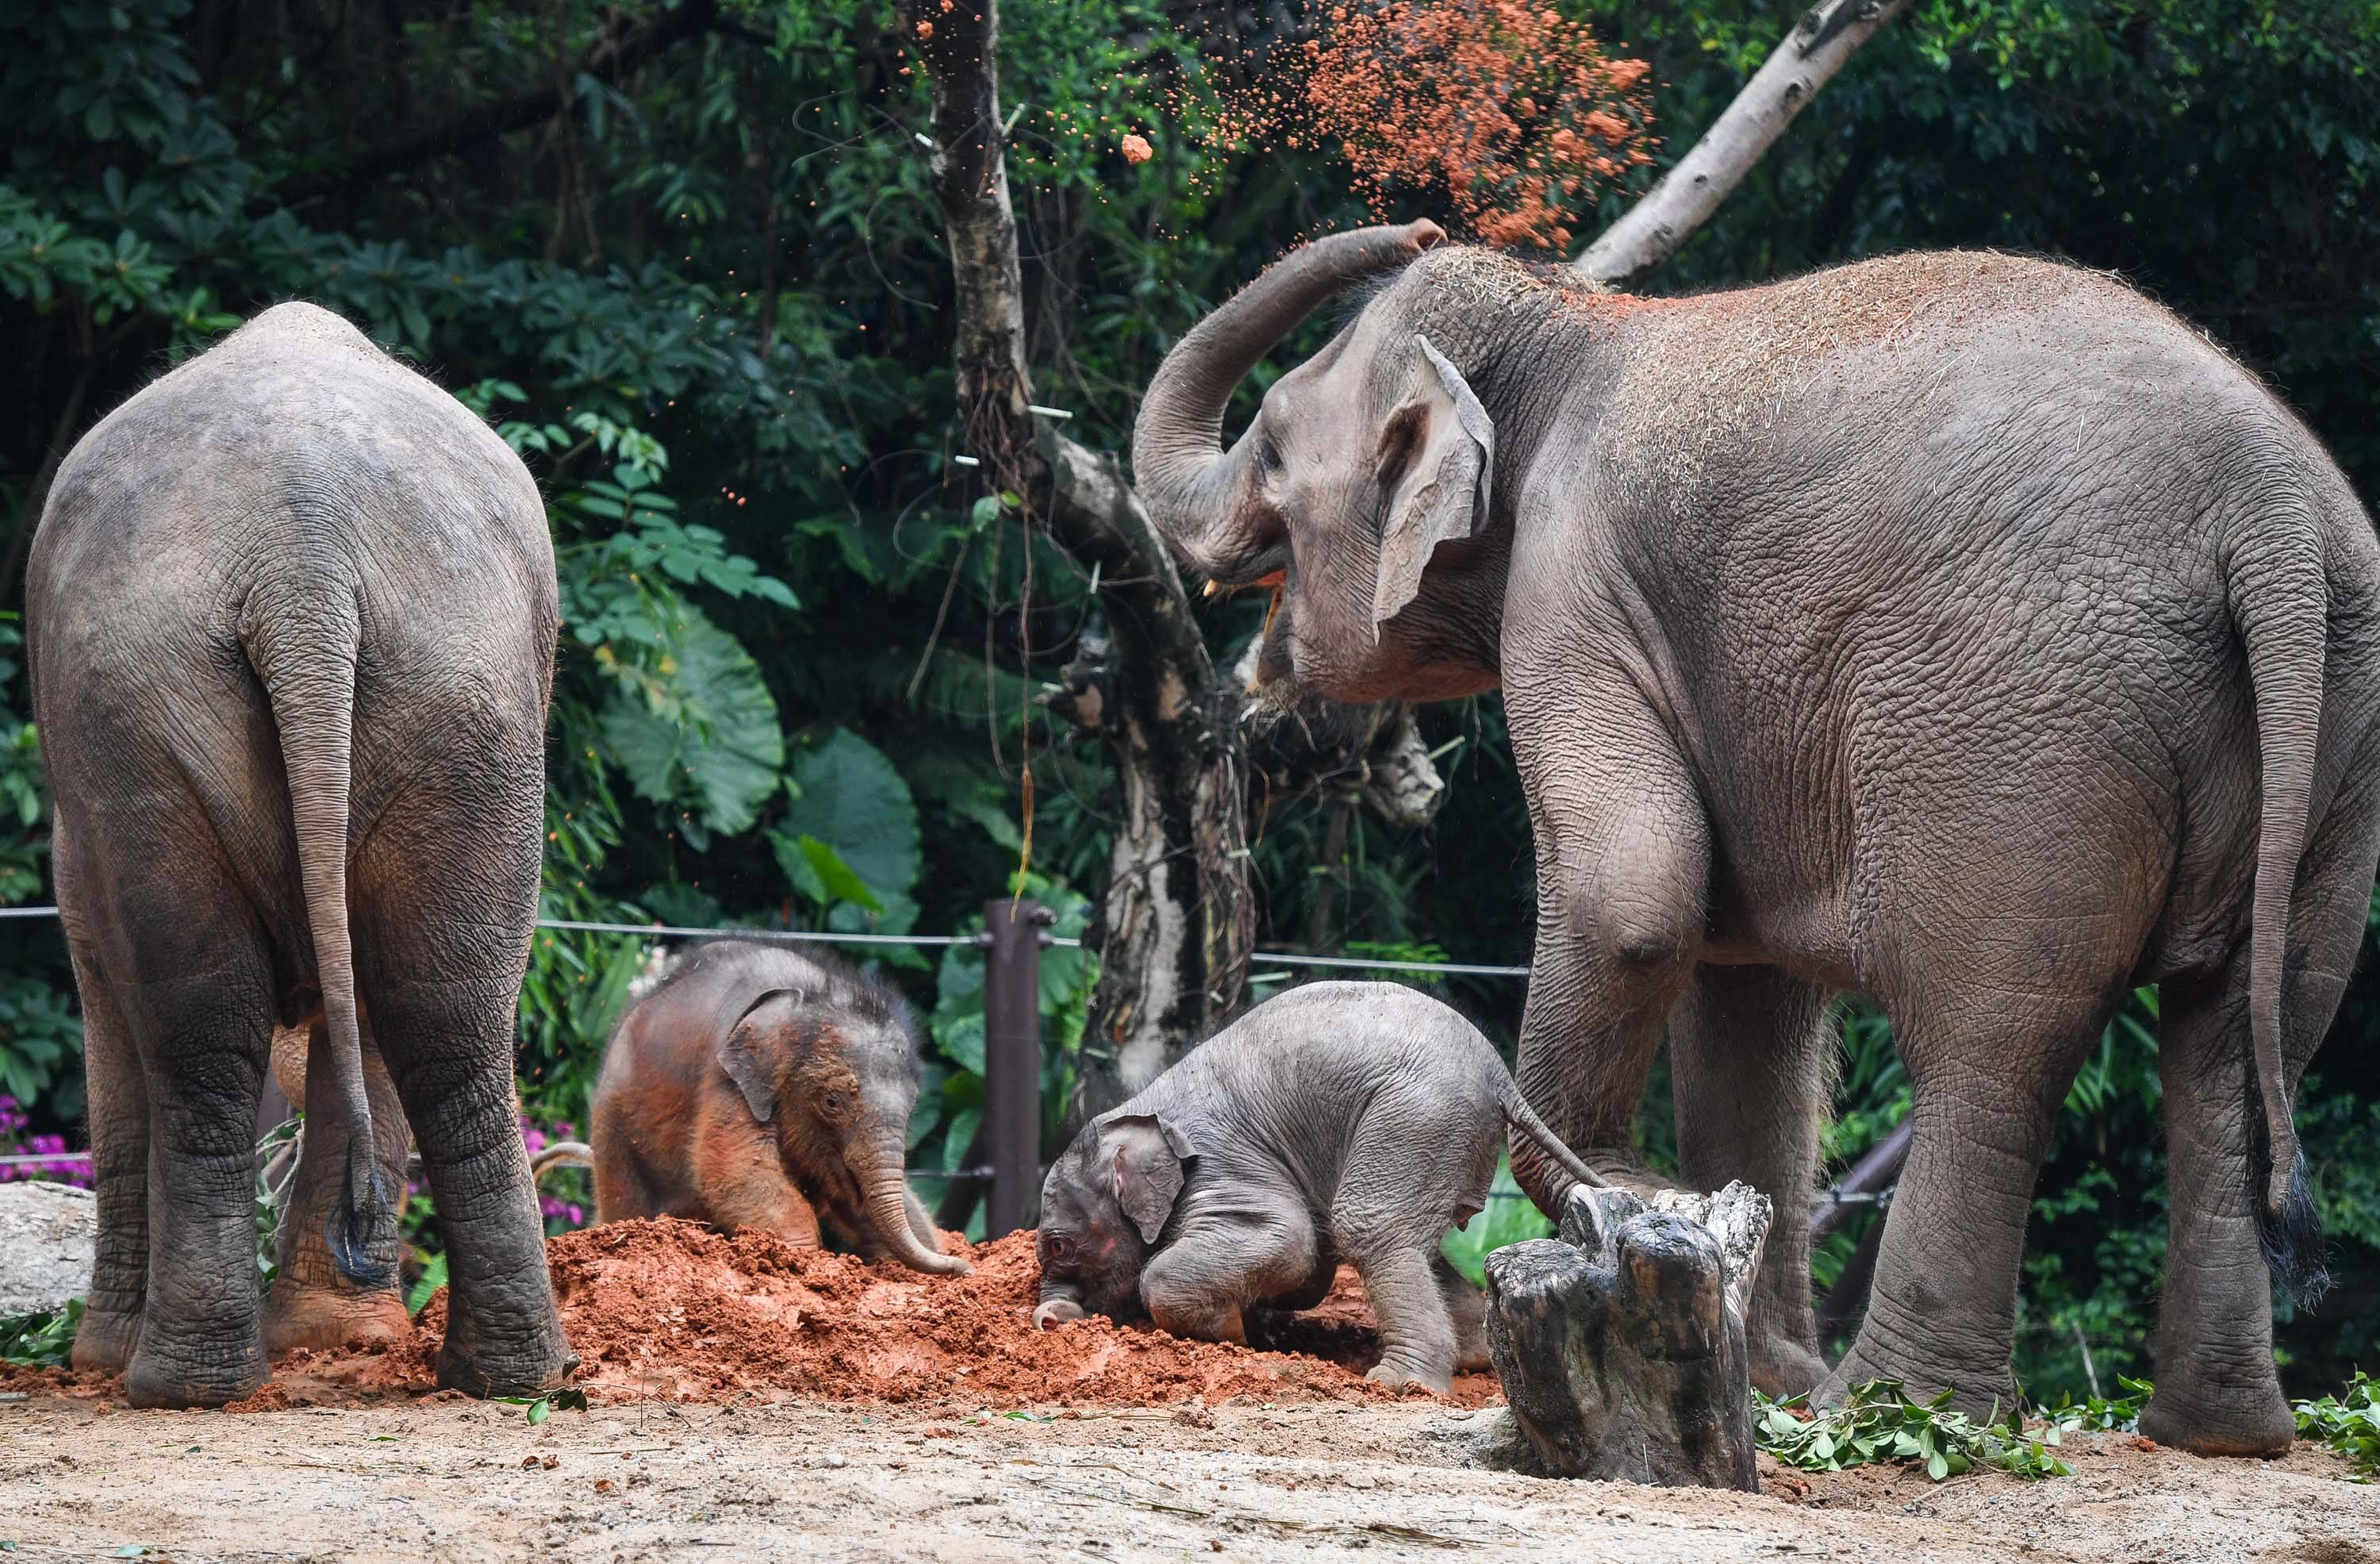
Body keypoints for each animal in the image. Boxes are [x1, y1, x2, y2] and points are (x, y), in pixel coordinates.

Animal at [30, 298, 574, 1409]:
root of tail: (301, 557)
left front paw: (99, 1357)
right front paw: (336, 1339)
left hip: (146, 708)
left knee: (204, 1027)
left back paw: (176, 1382)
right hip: (465, 703)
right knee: (441, 1008)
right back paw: (504, 1377)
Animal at [585, 933, 966, 1276]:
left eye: (912, 1110)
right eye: (831, 1101)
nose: (963, 1267)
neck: (808, 995)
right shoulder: (726, 1073)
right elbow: (738, 1172)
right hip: (613, 1119)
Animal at [1033, 976, 1590, 1390]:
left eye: (1059, 1246)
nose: (1047, 1320)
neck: (1137, 1111)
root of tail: (1500, 1075)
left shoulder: (1220, 1161)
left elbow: (1292, 1243)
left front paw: (1232, 1333)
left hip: (1418, 1117)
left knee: (1370, 1228)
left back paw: (1399, 1384)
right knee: (1417, 1242)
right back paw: (1472, 1359)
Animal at [1128, 219, 2380, 1447]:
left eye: (1272, 449)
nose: (1416, 221)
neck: (1570, 327)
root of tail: (2267, 508)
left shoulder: (1573, 594)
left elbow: (1631, 896)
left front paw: (1621, 1193)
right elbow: (1744, 979)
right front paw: (1754, 1346)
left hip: (2026, 739)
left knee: (1996, 1043)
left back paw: (1896, 1408)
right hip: (2338, 735)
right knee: (2242, 1037)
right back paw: (2217, 1432)